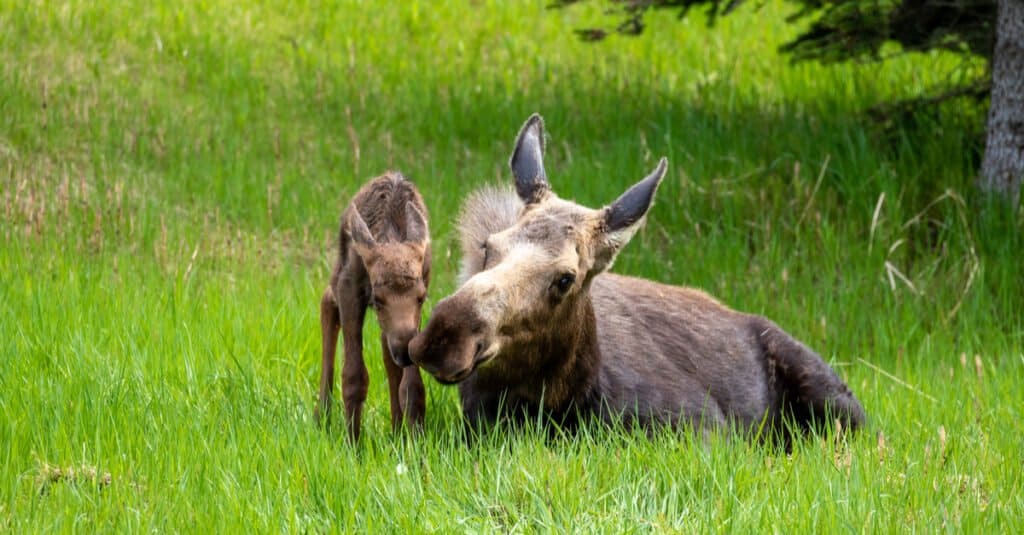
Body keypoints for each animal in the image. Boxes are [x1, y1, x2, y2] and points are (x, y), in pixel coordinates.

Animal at [319, 170, 432, 436]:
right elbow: (354, 375)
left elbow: (412, 385)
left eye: (421, 297)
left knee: (386, 350)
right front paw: (352, 441)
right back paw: (322, 418)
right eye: (377, 299)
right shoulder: (350, 289)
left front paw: (415, 438)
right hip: (338, 274)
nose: (404, 347)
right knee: (327, 301)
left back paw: (396, 430)